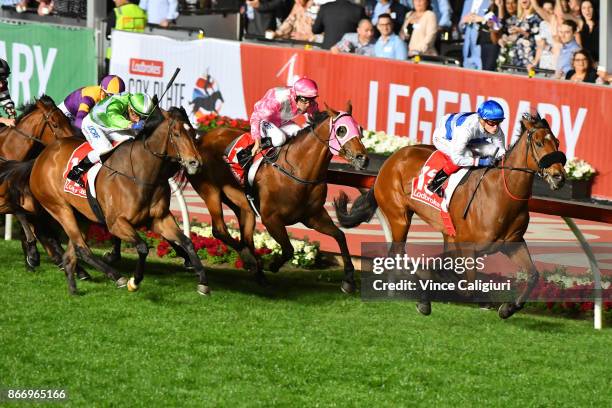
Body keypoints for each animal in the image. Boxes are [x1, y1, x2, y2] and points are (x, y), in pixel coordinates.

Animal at [0, 107, 208, 294]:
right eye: (177, 134)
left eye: (193, 133)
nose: (195, 163)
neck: (141, 174)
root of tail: (40, 158)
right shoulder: (116, 223)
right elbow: (142, 247)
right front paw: (134, 280)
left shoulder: (160, 219)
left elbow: (187, 242)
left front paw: (202, 281)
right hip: (59, 207)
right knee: (80, 247)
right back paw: (117, 276)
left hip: (81, 214)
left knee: (72, 249)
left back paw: (73, 284)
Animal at [186, 103, 368, 292]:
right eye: (341, 130)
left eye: (360, 129)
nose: (363, 158)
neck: (298, 169)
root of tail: (200, 140)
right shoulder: (271, 219)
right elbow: (288, 249)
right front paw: (272, 265)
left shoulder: (313, 216)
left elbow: (340, 235)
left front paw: (349, 280)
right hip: (210, 191)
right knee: (219, 230)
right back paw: (250, 261)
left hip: (241, 204)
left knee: (246, 236)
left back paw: (257, 272)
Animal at [332, 112, 568, 318]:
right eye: (538, 143)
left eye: (557, 142)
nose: (559, 177)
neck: (500, 195)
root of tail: (392, 158)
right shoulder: (467, 246)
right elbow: (465, 284)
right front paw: (427, 295)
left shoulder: (512, 243)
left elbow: (533, 275)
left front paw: (508, 308)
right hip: (399, 216)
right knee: (396, 254)